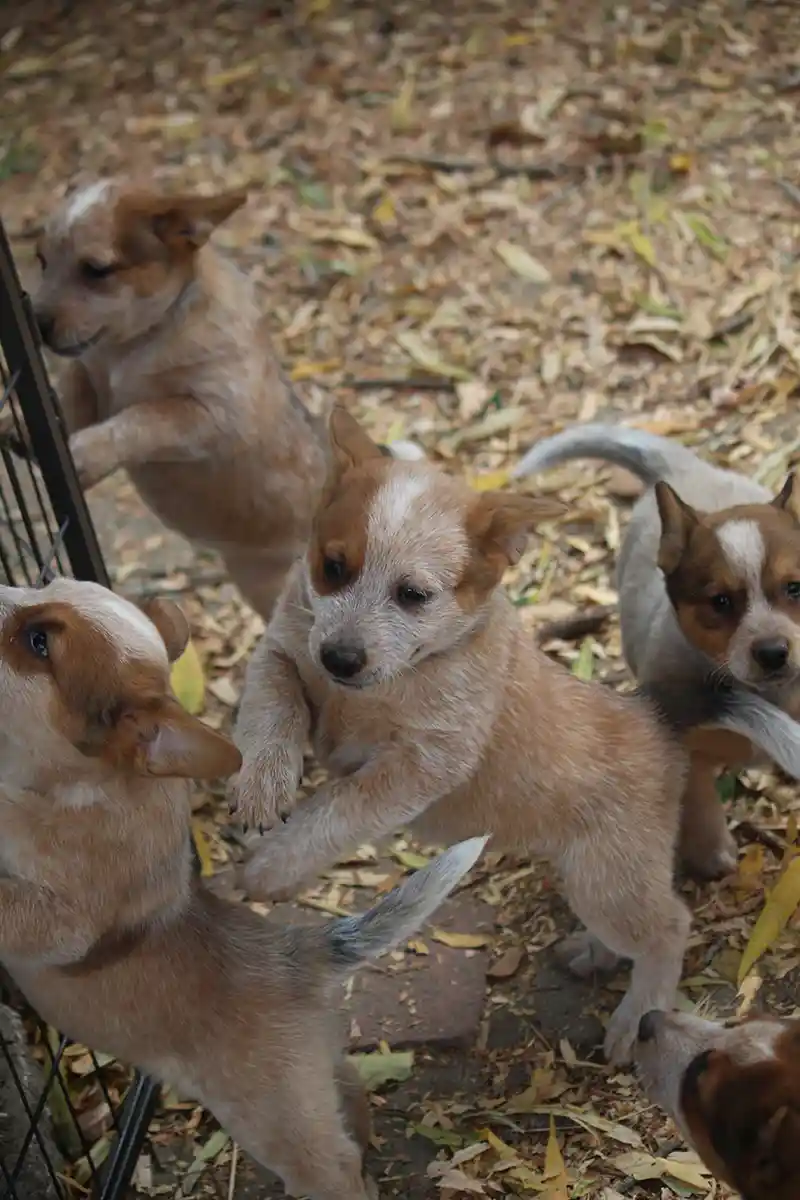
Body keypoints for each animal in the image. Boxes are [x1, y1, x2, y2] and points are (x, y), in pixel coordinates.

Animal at [513, 422, 800, 883]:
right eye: (720, 602)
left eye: (795, 588)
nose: (774, 652)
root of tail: (681, 469)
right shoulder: (682, 739)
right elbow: (698, 800)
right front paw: (710, 854)